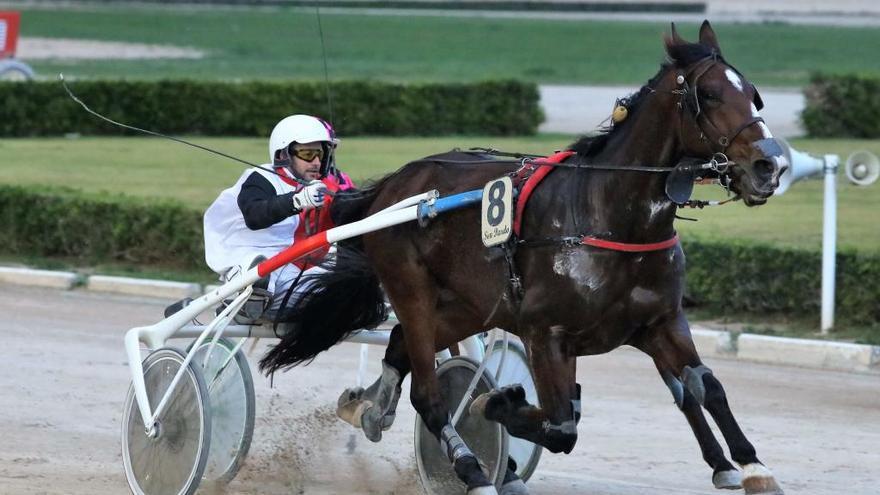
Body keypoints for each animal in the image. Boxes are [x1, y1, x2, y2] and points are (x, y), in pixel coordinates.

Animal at [260, 21, 784, 495]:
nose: (769, 165)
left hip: (469, 305)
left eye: (755, 95)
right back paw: (472, 470)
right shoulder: (545, 333)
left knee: (400, 344)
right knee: (428, 393)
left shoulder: (660, 321)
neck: (607, 216)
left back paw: (371, 408)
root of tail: (393, 186)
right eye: (709, 95)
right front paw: (491, 406)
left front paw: (753, 467)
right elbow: (561, 426)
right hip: (411, 290)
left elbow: (705, 386)